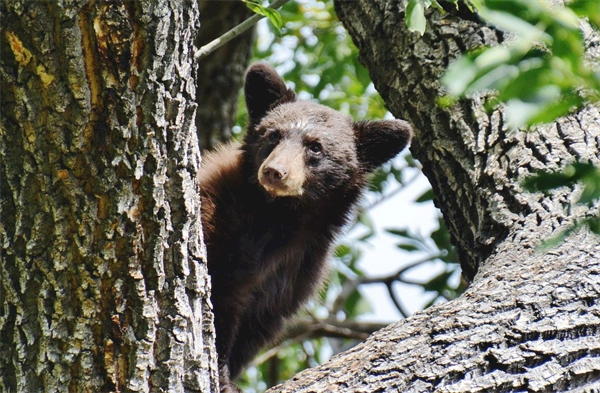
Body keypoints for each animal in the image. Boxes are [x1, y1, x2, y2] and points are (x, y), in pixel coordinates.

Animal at [199, 62, 410, 390]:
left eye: (316, 147)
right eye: (273, 135)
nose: (275, 172)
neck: (280, 218)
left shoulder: (298, 268)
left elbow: (258, 324)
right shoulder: (219, 224)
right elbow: (222, 300)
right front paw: (222, 377)